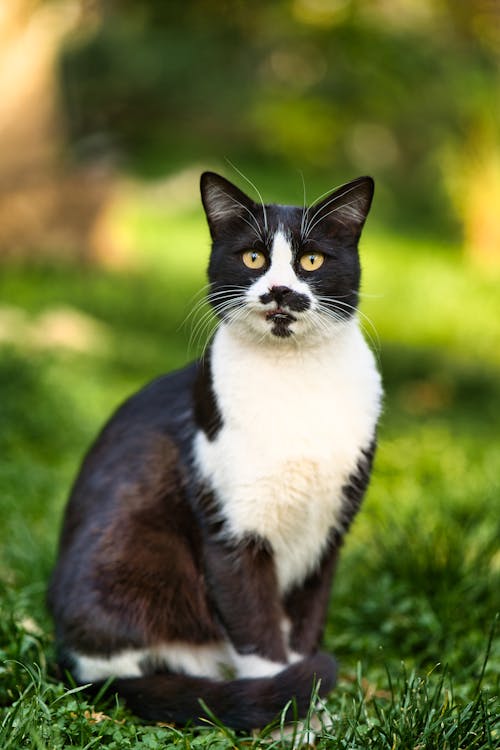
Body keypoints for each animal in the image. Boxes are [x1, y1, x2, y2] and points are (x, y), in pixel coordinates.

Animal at [47, 172, 382, 736]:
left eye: (312, 260)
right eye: (253, 257)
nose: (279, 290)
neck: (295, 377)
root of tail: (83, 668)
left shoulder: (328, 532)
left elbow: (304, 630)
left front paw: (311, 712)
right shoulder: (232, 531)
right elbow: (262, 638)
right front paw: (290, 722)